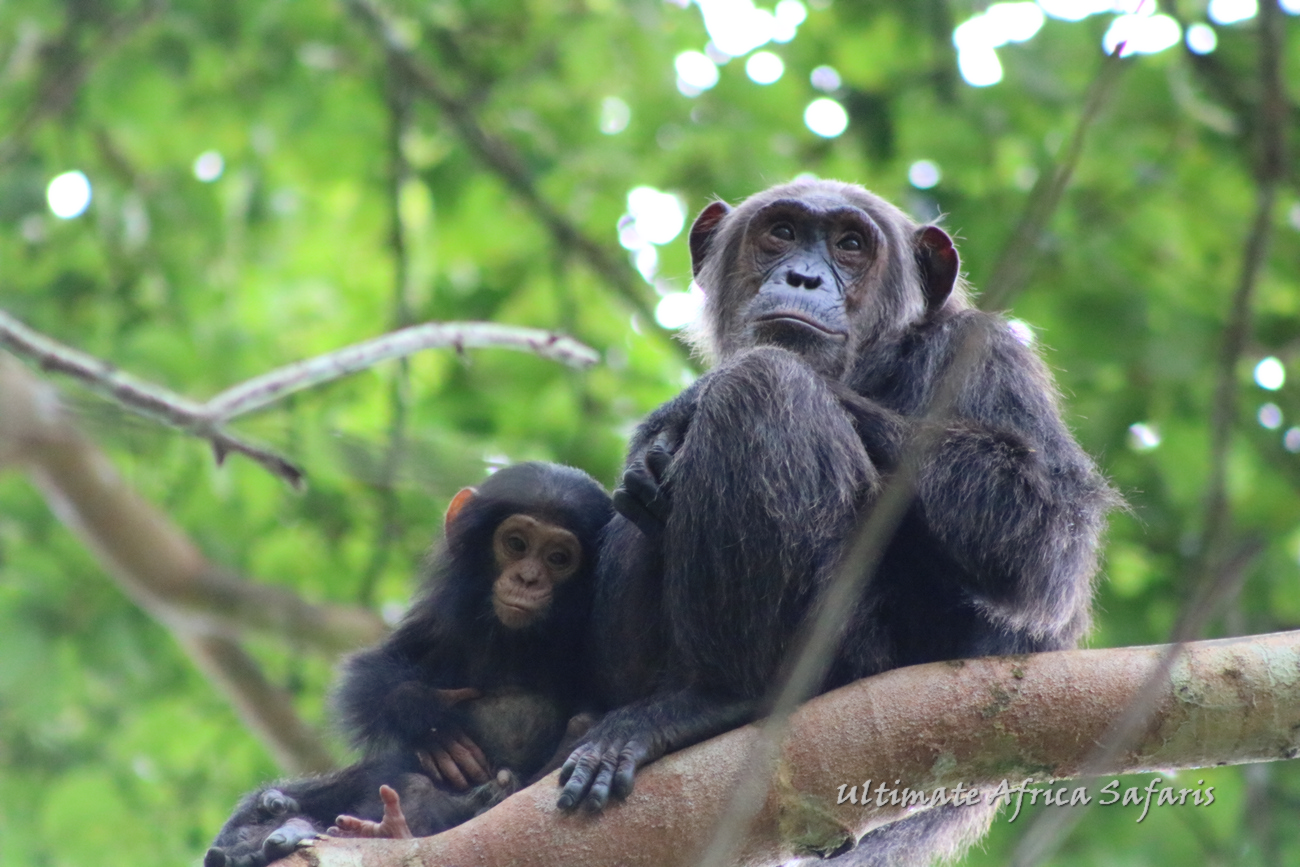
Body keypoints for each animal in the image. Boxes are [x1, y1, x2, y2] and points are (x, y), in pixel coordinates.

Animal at [205, 465, 611, 867]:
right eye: (516, 544)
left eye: (558, 557)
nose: (528, 578)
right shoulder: (440, 621)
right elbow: (374, 673)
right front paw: (428, 717)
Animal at [559, 179, 1118, 863]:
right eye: (781, 232)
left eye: (850, 244)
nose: (803, 276)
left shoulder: (986, 355)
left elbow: (1045, 540)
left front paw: (687, 403)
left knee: (766, 383)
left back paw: (717, 699)